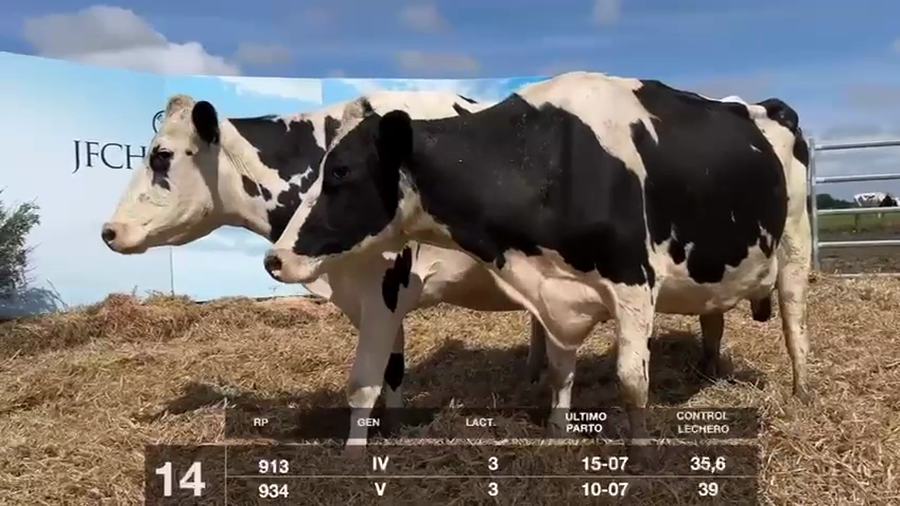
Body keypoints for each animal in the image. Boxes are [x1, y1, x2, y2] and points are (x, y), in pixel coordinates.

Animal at [99, 90, 555, 433]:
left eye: (162, 155)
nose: (109, 231)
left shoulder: (386, 288)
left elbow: (363, 385)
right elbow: (391, 370)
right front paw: (394, 429)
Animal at [263, 71, 812, 455]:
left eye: (340, 172)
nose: (275, 259)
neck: (544, 160)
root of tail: (767, 106)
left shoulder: (633, 282)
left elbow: (632, 380)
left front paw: (641, 455)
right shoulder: (557, 293)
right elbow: (559, 370)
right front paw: (557, 431)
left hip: (794, 247)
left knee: (794, 323)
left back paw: (802, 389)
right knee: (714, 315)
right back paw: (710, 372)